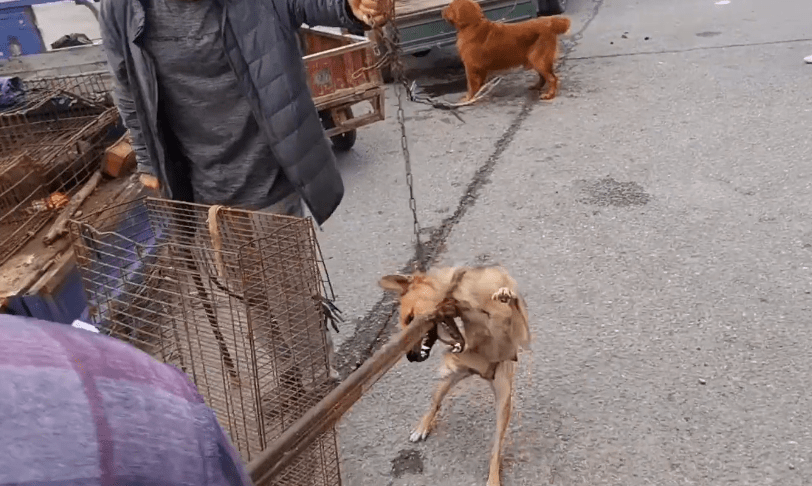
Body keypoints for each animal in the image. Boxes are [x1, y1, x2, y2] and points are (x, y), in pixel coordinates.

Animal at [444, 0, 572, 102]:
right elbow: (479, 84)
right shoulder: (479, 68)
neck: (473, 25)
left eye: (450, 6)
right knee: (544, 77)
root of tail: (550, 22)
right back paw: (537, 87)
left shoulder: (471, 67)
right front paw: (479, 93)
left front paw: (469, 98)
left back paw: (549, 95)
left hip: (538, 59)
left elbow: (471, 85)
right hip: (536, 59)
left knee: (552, 78)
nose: (442, 9)